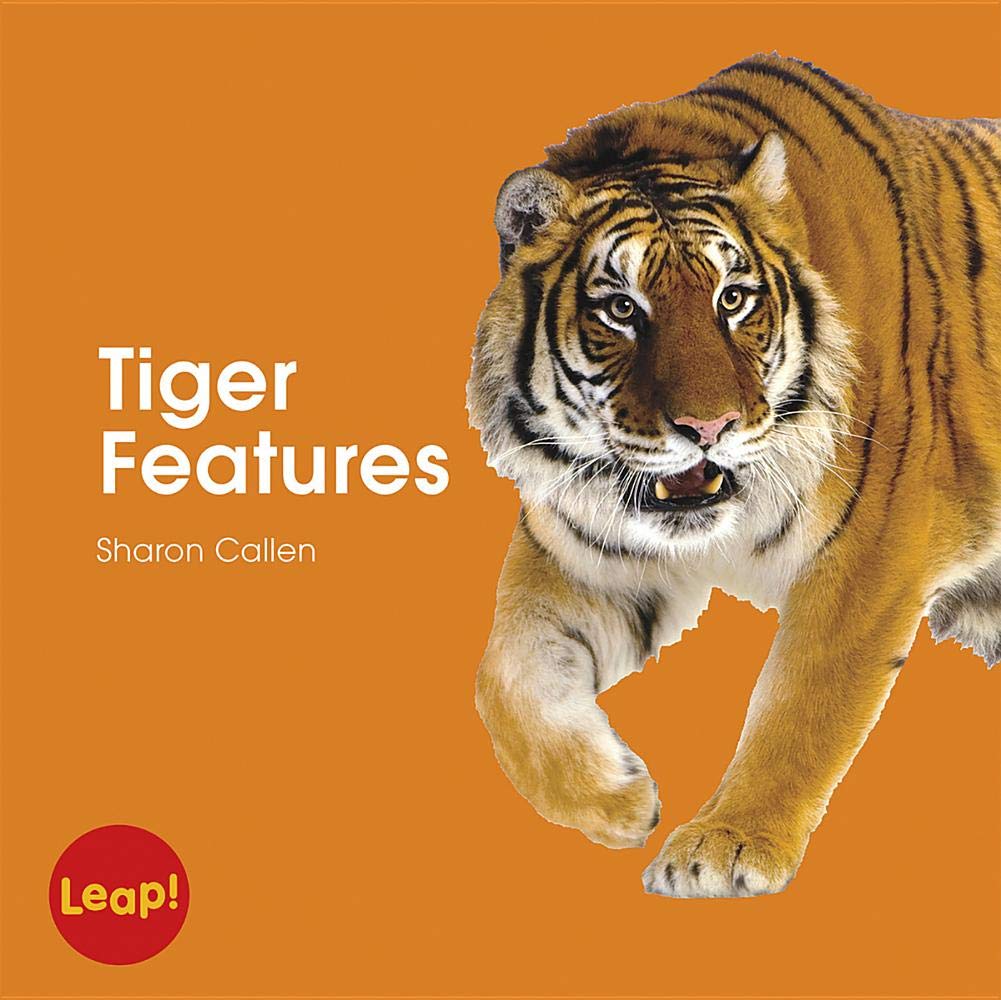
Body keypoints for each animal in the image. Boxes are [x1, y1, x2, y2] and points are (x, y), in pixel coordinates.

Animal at [467, 53, 1001, 897]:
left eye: (733, 298)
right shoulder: (586, 557)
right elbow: (504, 677)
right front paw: (614, 800)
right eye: (621, 310)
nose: (707, 428)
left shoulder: (872, 552)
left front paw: (723, 848)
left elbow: (798, 703)